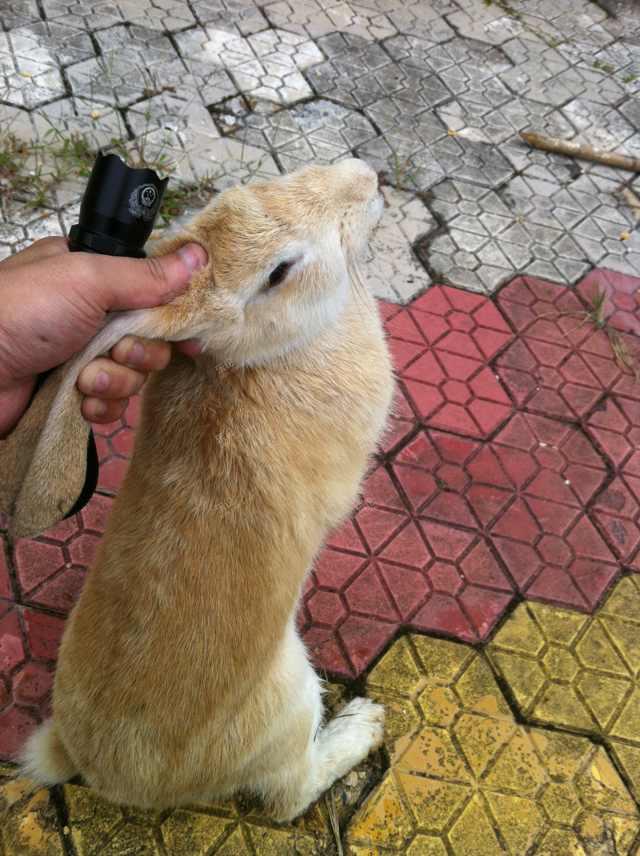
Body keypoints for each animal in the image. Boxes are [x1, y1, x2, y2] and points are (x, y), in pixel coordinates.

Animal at [18, 157, 396, 820]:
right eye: (279, 272)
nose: (365, 177)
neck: (260, 354)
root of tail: (98, 768)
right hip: (289, 700)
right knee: (288, 794)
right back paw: (363, 724)